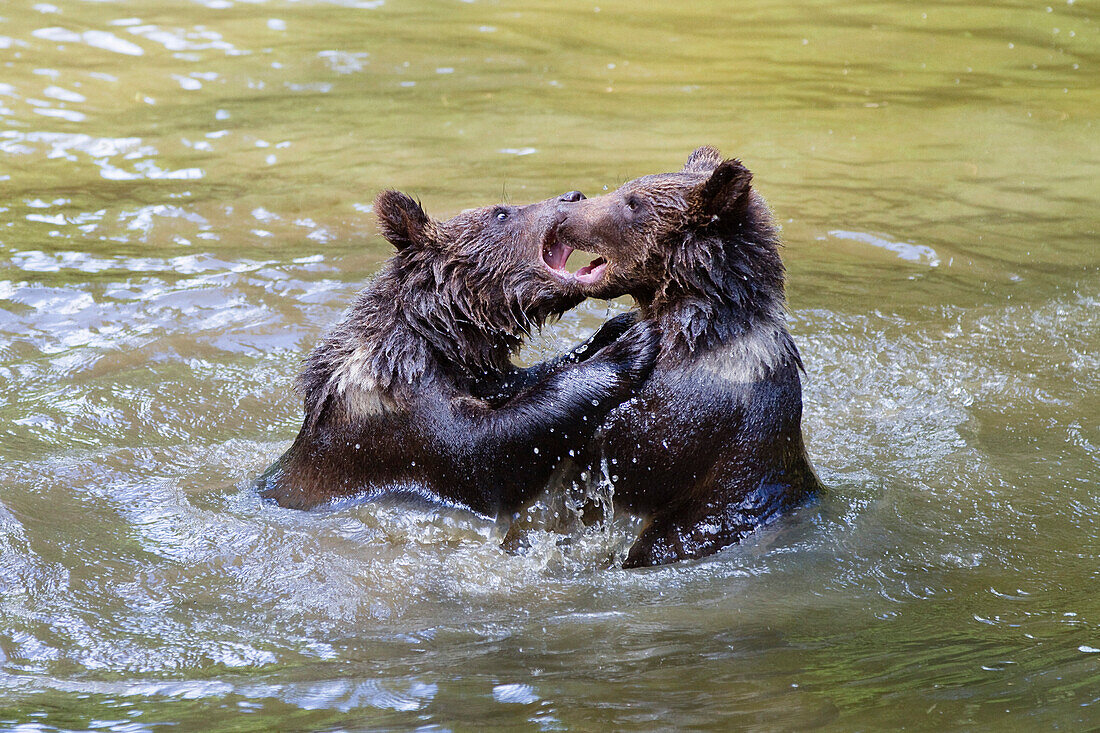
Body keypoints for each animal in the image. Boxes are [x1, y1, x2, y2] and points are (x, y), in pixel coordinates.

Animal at [253, 189, 655, 519]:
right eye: (501, 213)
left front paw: (616, 327)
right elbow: (486, 452)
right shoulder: (396, 417)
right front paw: (630, 347)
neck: (436, 338)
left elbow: (519, 381)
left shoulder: (475, 375)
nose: (573, 195)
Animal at [550, 144, 827, 563]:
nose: (565, 210)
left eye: (632, 203)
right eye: (627, 189)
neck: (694, 332)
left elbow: (633, 457)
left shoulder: (694, 414)